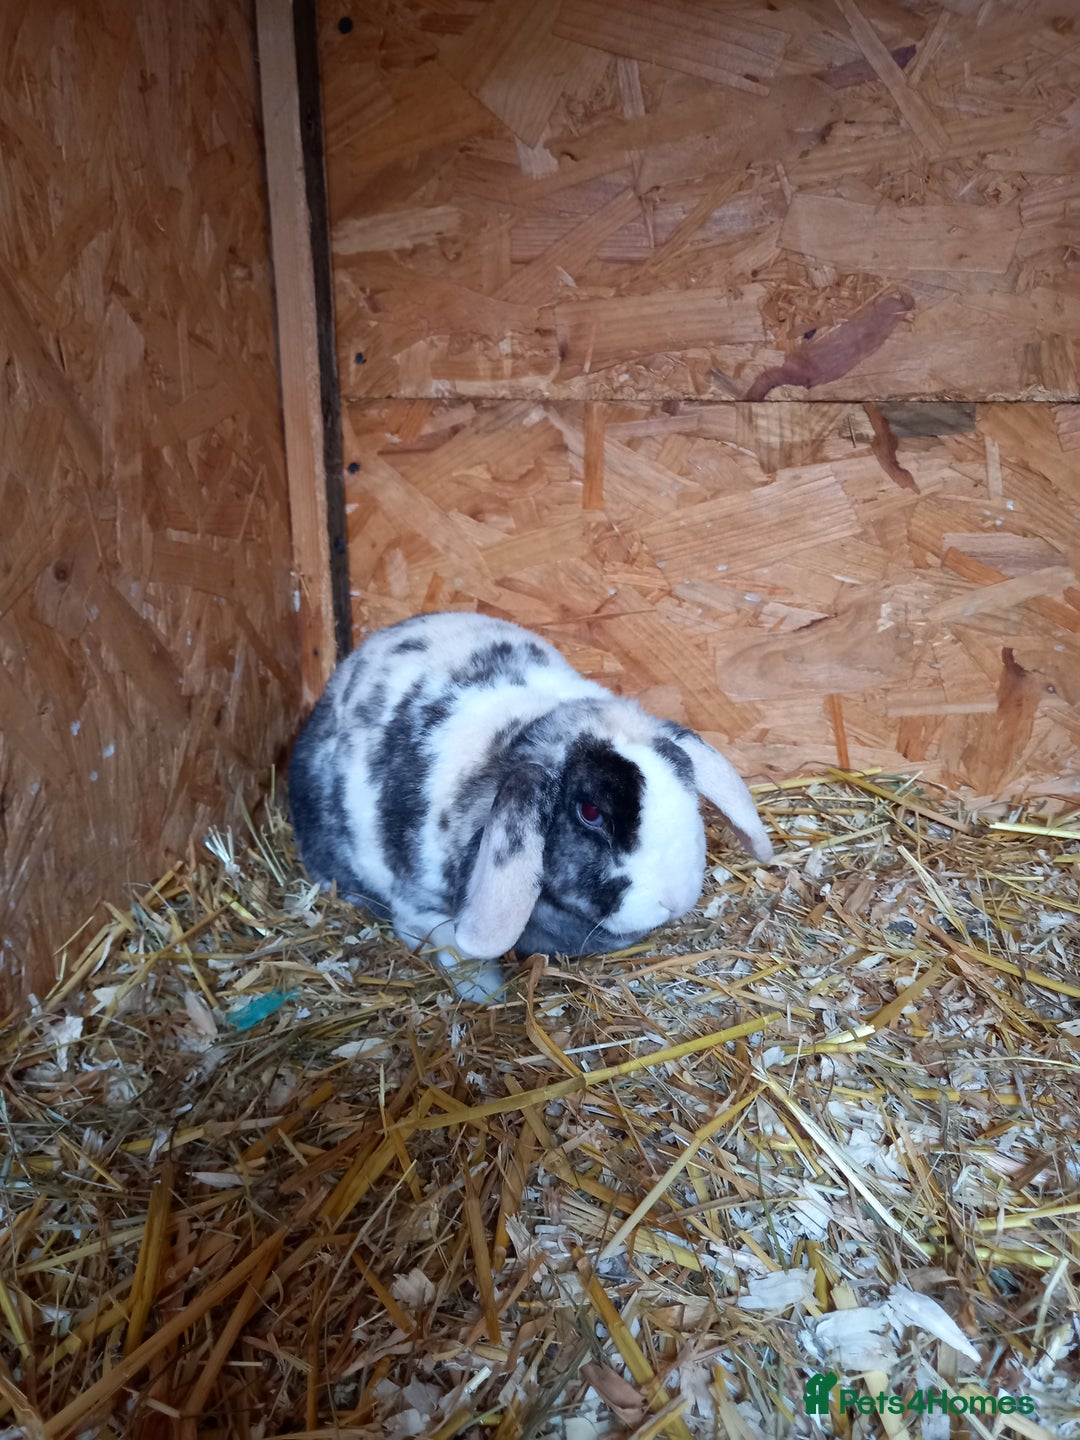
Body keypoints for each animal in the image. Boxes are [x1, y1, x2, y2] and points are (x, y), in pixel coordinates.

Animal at [287, 611, 772, 1001]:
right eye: (591, 813)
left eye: (685, 776)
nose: (674, 899)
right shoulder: (419, 909)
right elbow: (454, 949)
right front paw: (488, 995)